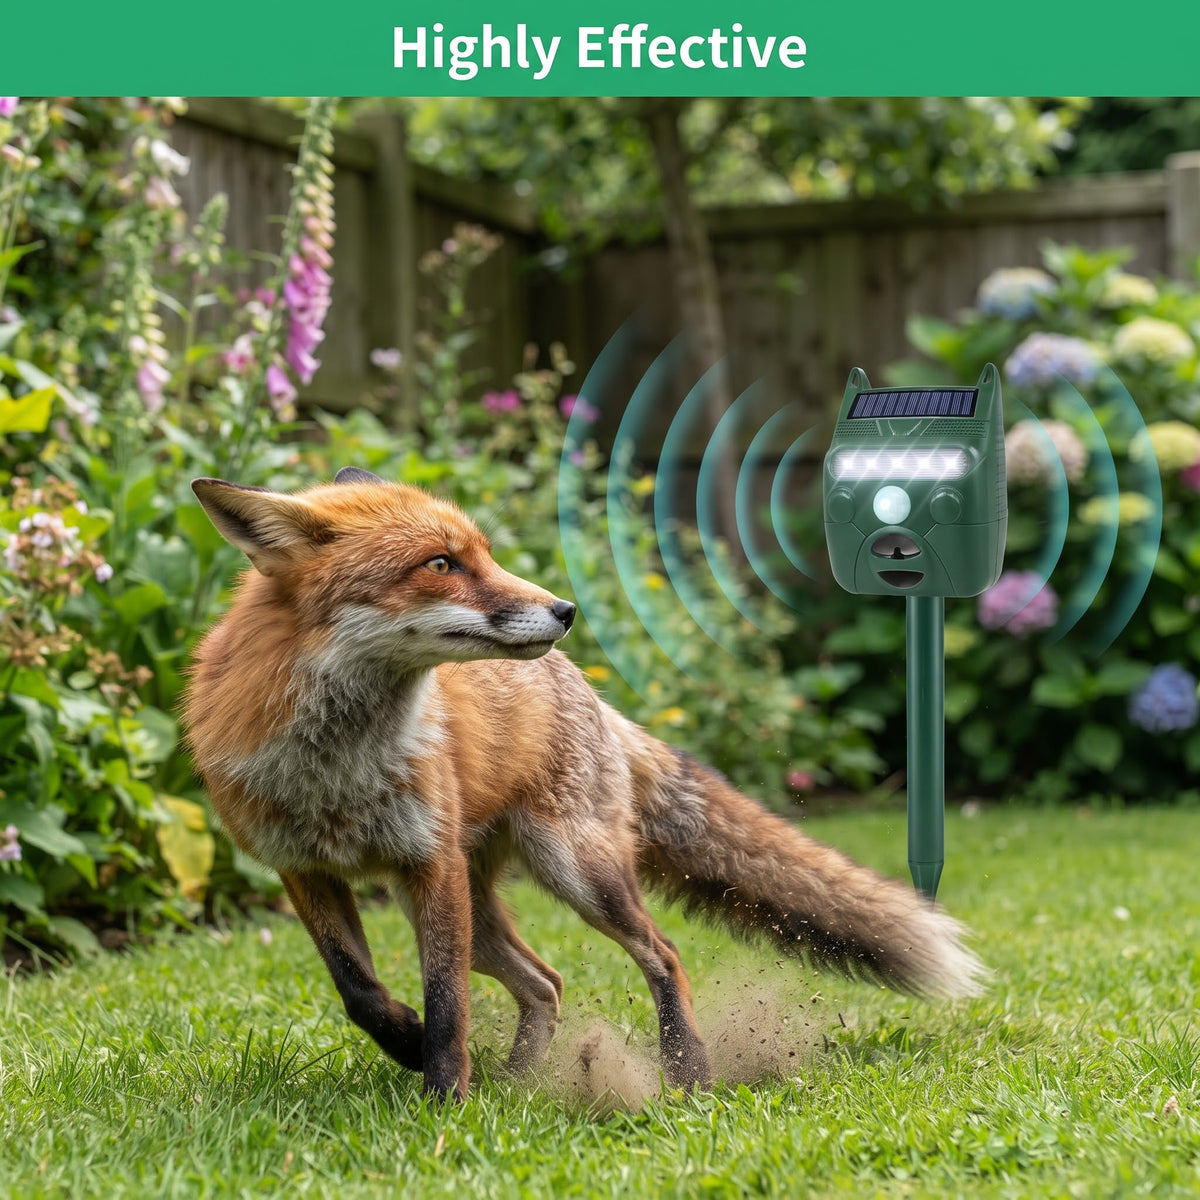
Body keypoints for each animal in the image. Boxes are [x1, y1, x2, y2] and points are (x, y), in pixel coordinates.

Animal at [184, 466, 986, 1101]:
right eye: (441, 563)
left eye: (483, 555)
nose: (567, 610)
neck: (337, 768)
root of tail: (591, 693)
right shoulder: (304, 870)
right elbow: (359, 992)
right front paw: (410, 1048)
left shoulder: (428, 861)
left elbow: (447, 1003)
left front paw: (443, 1098)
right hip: (474, 905)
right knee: (546, 983)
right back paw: (518, 1083)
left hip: (575, 871)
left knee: (661, 955)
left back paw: (685, 1071)